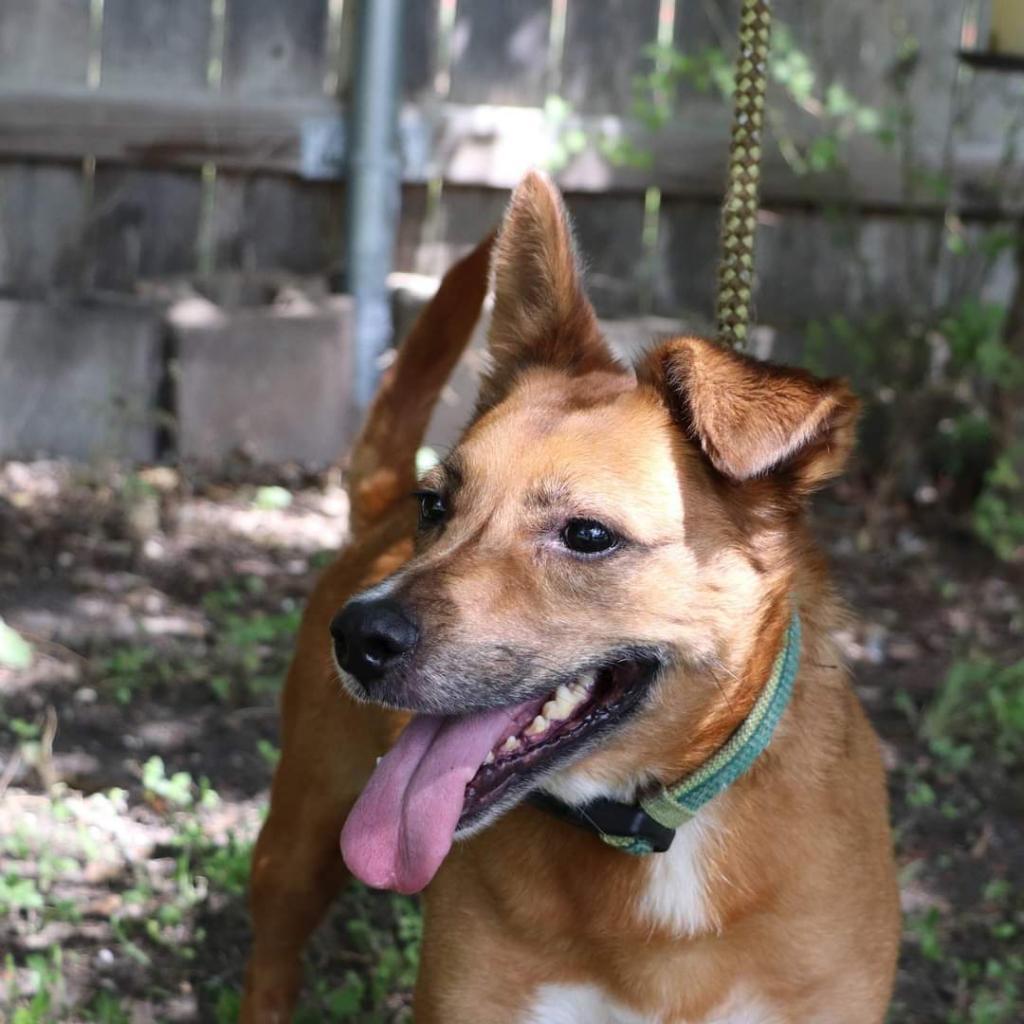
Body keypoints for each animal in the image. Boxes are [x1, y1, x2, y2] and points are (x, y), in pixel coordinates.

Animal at [237, 172, 897, 1019]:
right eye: (436, 504)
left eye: (587, 535)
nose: (358, 637)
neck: (654, 831)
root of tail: (373, 525)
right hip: (297, 842)